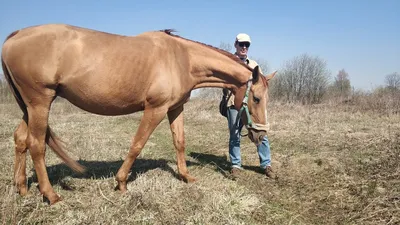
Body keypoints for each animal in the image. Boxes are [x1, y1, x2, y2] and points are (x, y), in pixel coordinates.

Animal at [0, 23, 276, 205]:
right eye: (256, 98)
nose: (261, 136)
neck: (182, 58)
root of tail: (15, 36)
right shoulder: (156, 109)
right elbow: (137, 144)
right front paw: (121, 182)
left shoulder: (175, 108)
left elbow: (179, 142)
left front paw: (186, 176)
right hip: (40, 103)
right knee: (36, 145)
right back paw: (50, 194)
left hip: (30, 107)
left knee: (21, 140)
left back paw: (22, 188)